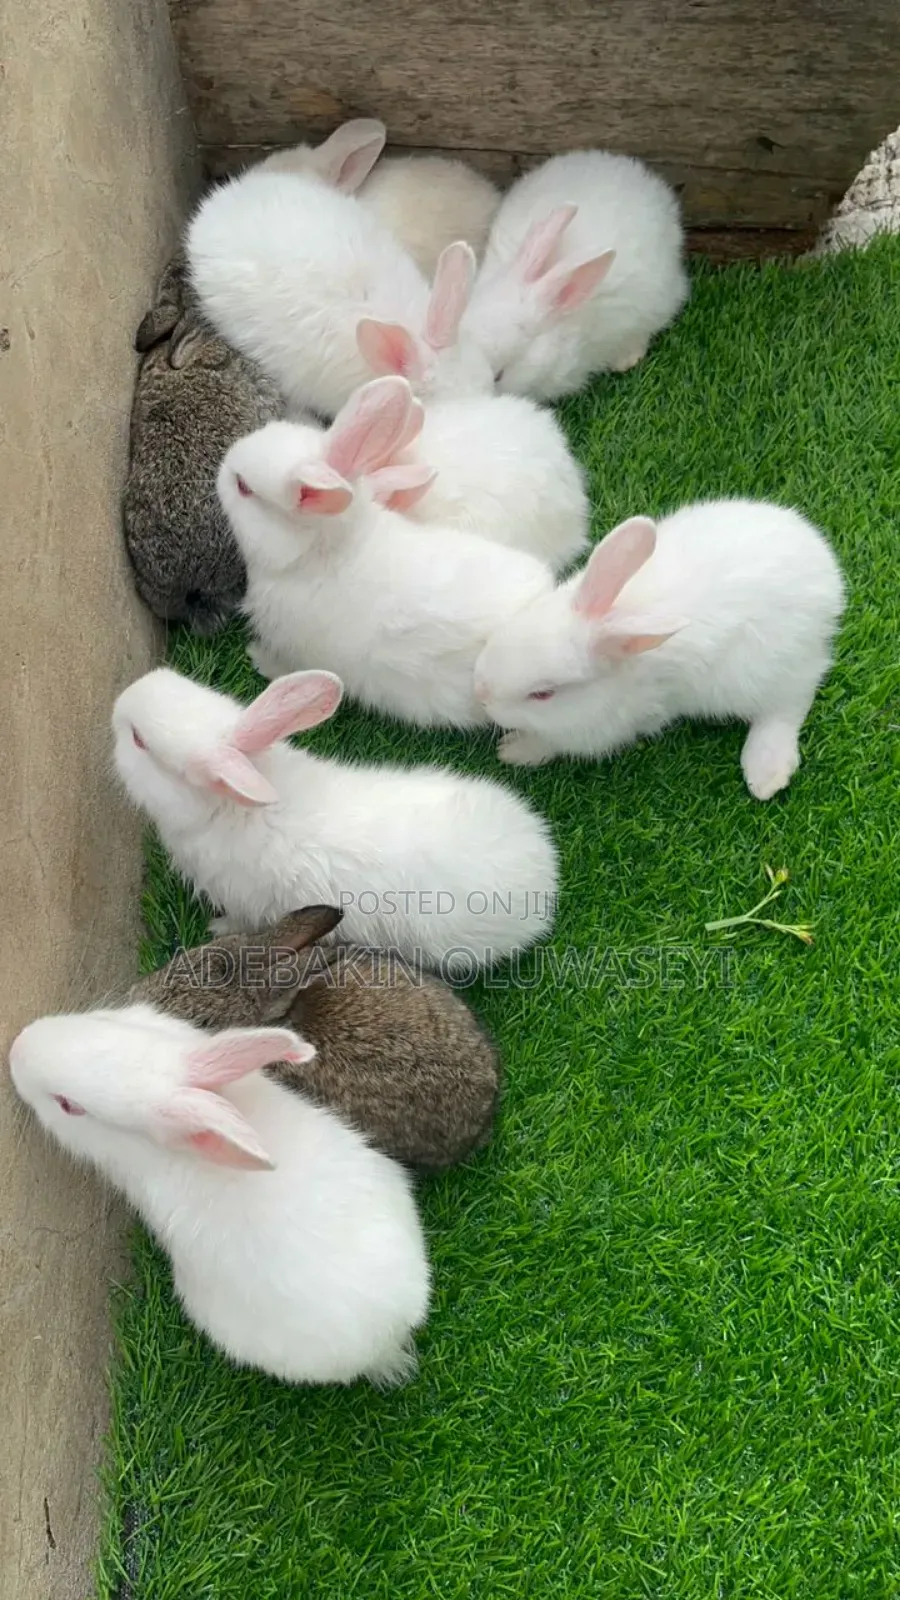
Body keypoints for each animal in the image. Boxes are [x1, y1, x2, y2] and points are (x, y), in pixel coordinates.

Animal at [111, 665, 559, 969]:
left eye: (139, 741)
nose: (121, 700)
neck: (231, 809)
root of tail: (545, 874)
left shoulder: (246, 904)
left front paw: (215, 929)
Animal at [473, 499, 846, 800]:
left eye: (543, 694)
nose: (482, 693)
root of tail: (828, 579)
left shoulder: (602, 729)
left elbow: (555, 742)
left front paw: (515, 749)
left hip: (763, 673)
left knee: (791, 702)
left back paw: (766, 772)